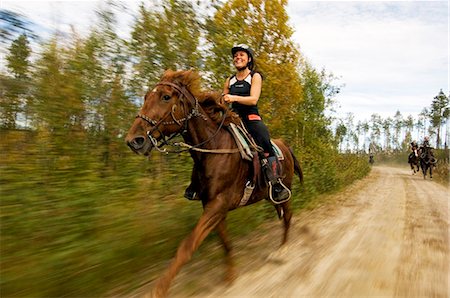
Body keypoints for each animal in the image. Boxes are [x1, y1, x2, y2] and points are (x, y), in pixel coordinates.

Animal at [125, 70, 304, 298]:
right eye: (146, 96)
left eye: (165, 97)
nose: (134, 140)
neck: (214, 149)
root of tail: (285, 146)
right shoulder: (213, 207)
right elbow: (225, 242)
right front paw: (230, 276)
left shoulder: (217, 205)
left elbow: (187, 246)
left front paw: (160, 288)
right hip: (268, 195)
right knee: (281, 213)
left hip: (284, 190)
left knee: (288, 216)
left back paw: (282, 249)